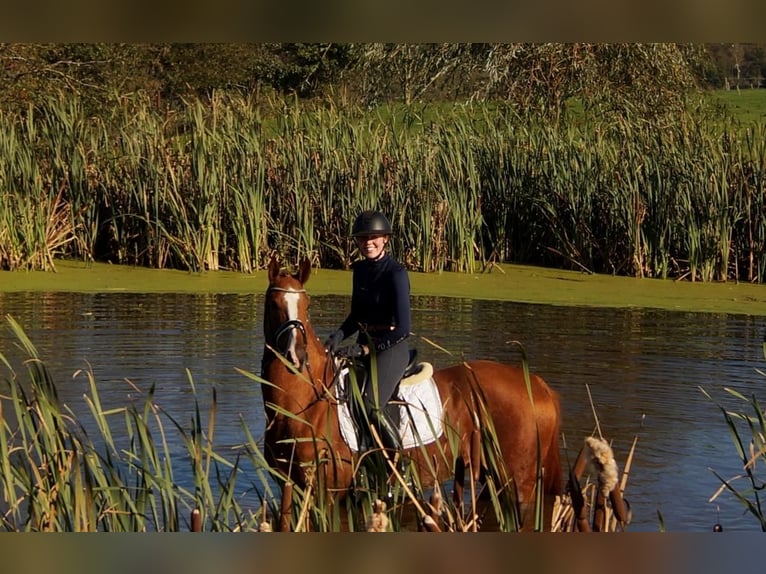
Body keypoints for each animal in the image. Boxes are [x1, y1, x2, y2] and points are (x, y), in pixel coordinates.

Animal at [262, 256, 564, 532]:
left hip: (518, 484)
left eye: (307, 306)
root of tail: (537, 384)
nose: (296, 356)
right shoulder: (289, 485)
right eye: (274, 305)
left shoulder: (328, 494)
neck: (302, 405)